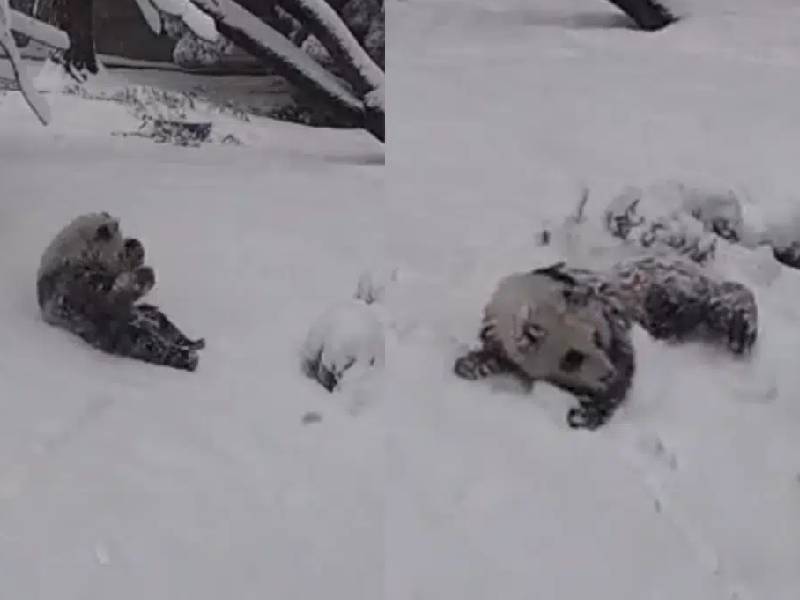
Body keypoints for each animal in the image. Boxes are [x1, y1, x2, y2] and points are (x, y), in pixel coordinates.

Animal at [37, 212, 204, 371]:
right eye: (121, 251)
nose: (133, 243)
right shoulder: (78, 287)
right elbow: (111, 289)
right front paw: (143, 272)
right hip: (126, 335)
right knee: (151, 345)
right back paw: (187, 357)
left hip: (146, 323)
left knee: (163, 324)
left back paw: (192, 343)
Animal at [454, 256, 758, 430]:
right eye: (571, 357)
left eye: (597, 338)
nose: (605, 374)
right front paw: (470, 364)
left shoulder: (608, 310)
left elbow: (625, 363)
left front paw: (584, 413)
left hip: (668, 290)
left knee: (720, 299)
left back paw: (741, 327)